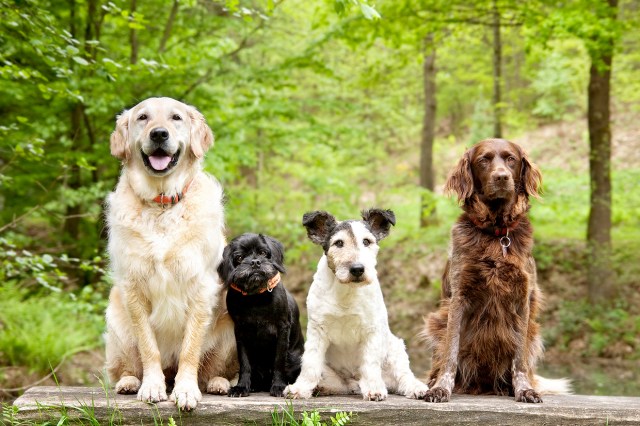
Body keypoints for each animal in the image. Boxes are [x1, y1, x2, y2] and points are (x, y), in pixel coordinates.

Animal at [218, 233, 304, 396]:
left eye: (263, 253)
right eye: (239, 257)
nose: (255, 262)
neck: (255, 297)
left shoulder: (282, 329)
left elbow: (279, 361)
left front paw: (279, 386)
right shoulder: (240, 332)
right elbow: (245, 363)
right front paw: (241, 386)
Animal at [286, 208, 430, 402]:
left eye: (367, 241)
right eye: (338, 243)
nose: (357, 269)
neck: (347, 291)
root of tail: (354, 380)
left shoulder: (371, 330)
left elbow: (370, 363)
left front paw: (374, 390)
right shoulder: (317, 331)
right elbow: (310, 363)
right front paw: (300, 389)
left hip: (396, 349)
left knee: (403, 376)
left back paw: (416, 388)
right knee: (341, 385)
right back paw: (322, 388)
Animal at [424, 139, 568, 402]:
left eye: (511, 159)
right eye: (484, 160)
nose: (501, 177)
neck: (497, 234)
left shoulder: (522, 299)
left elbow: (519, 359)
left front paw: (524, 389)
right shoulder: (459, 297)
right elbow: (450, 353)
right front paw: (441, 387)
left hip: (534, 332)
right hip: (436, 322)